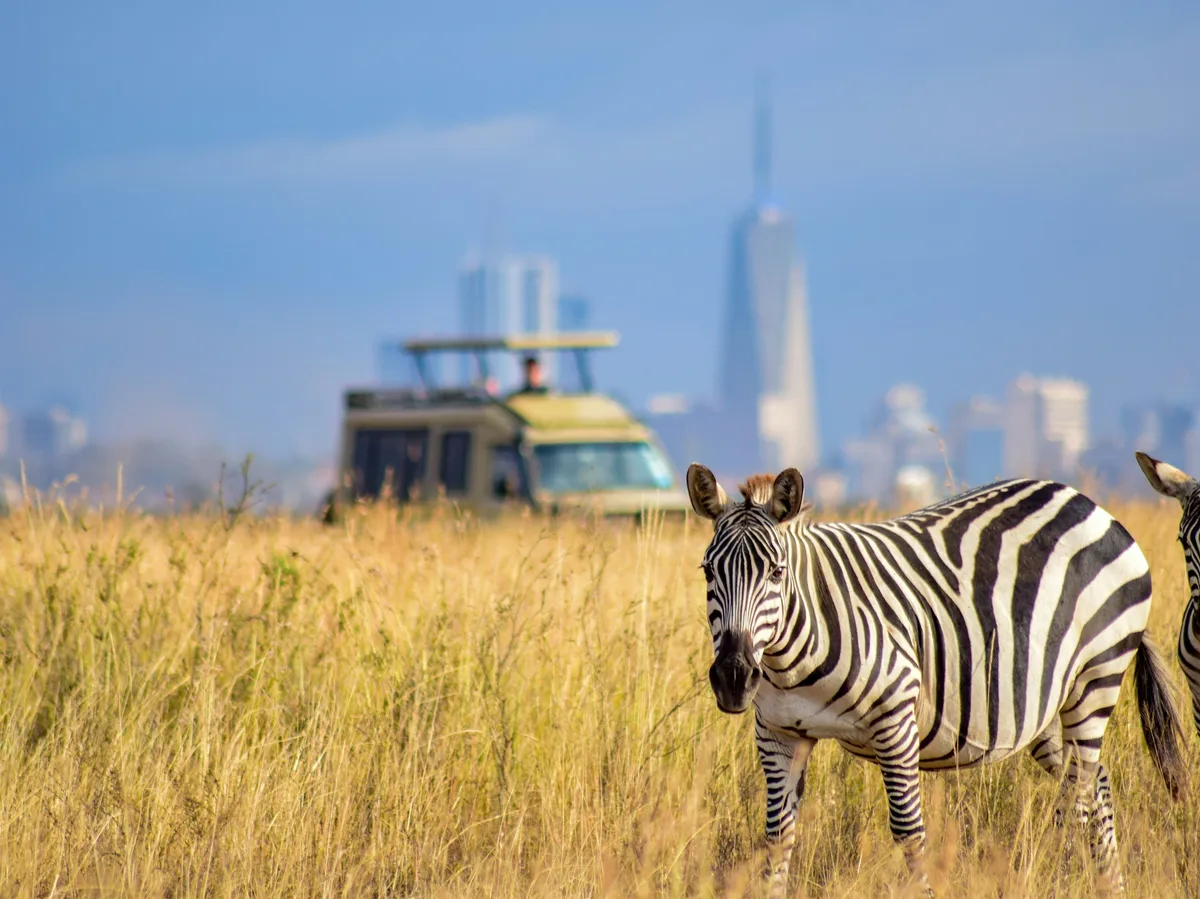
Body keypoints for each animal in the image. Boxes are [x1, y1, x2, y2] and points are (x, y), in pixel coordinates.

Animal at [686, 463, 1188, 898]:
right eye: (707, 572)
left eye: (776, 572)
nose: (733, 677)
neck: (790, 657)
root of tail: (1087, 503)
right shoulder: (778, 734)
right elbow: (777, 837)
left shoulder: (895, 720)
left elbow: (909, 834)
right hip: (1040, 704)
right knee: (1096, 781)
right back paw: (1111, 886)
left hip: (1096, 676)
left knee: (1078, 797)